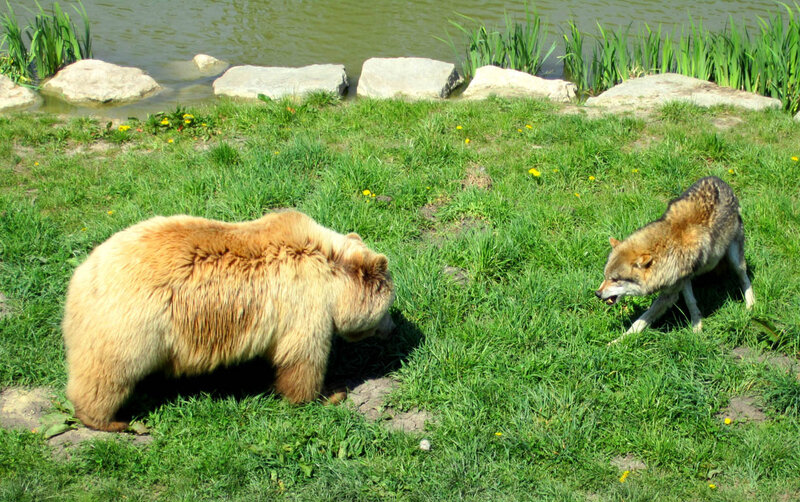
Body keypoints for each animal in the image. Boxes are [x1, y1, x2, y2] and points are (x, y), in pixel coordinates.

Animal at [62, 210, 395, 432]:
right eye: (389, 305)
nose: (392, 329)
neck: (332, 272)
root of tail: (83, 273)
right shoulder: (304, 304)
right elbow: (302, 360)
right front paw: (329, 393)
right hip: (130, 325)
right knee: (107, 375)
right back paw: (111, 421)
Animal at [595, 176, 755, 343]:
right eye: (605, 277)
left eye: (615, 279)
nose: (597, 294)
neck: (666, 247)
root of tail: (718, 179)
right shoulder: (682, 280)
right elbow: (690, 301)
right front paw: (697, 324)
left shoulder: (670, 293)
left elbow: (641, 319)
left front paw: (617, 341)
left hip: (735, 260)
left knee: (744, 278)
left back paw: (751, 305)